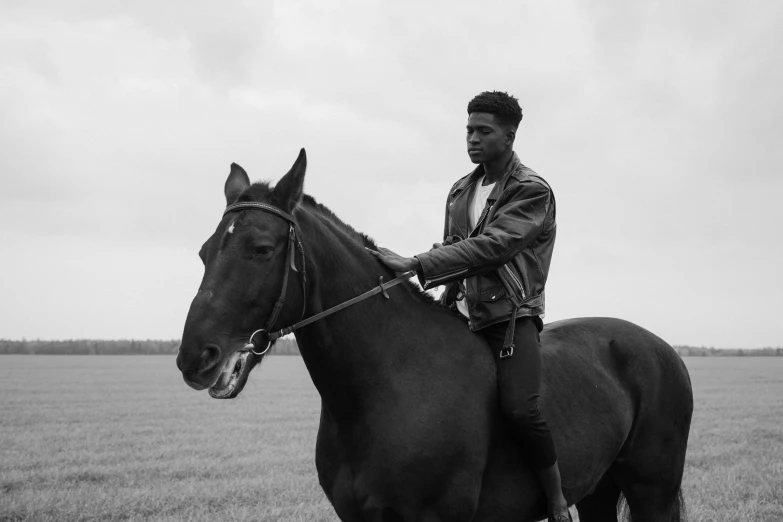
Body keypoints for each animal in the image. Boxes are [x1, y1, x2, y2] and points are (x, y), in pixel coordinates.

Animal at [176, 148, 692, 516]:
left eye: (261, 249)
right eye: (204, 251)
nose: (194, 358)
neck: (386, 387)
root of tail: (664, 350)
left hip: (653, 491)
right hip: (600, 489)